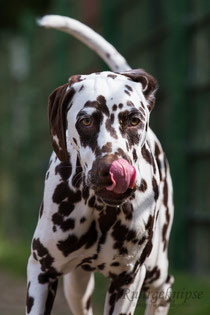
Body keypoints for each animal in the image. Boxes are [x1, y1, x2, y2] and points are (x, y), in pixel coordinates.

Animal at [26, 15, 174, 315]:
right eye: (86, 120)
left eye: (133, 120)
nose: (112, 168)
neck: (99, 211)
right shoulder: (41, 271)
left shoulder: (127, 281)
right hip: (76, 287)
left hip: (155, 270)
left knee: (163, 289)